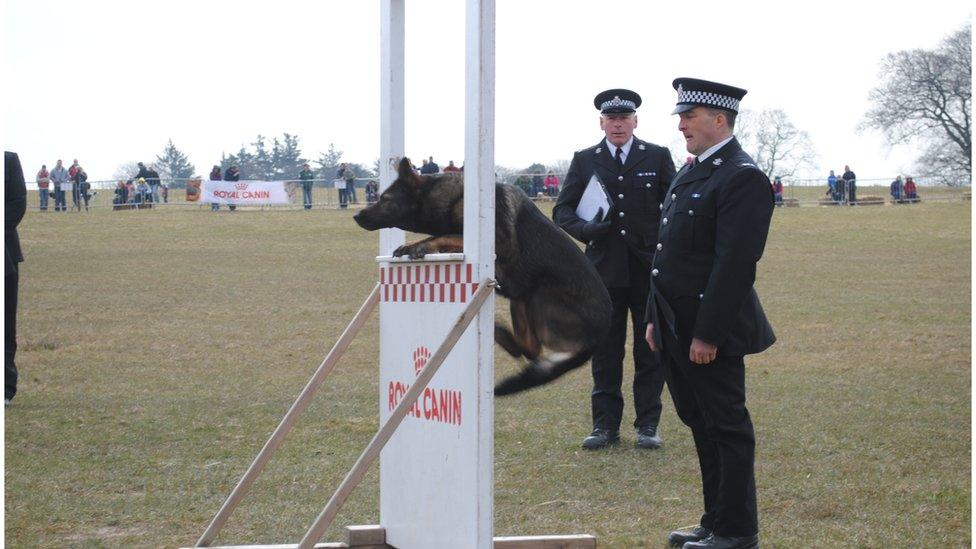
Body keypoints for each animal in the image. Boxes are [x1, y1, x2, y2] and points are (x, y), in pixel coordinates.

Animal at [350, 157, 608, 394]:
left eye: (385, 199)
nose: (357, 216)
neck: (456, 197)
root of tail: (597, 337)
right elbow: (447, 236)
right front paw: (412, 245)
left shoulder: (497, 242)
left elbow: (445, 235)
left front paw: (419, 246)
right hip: (522, 298)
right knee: (529, 349)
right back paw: (498, 330)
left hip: (540, 294)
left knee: (530, 348)